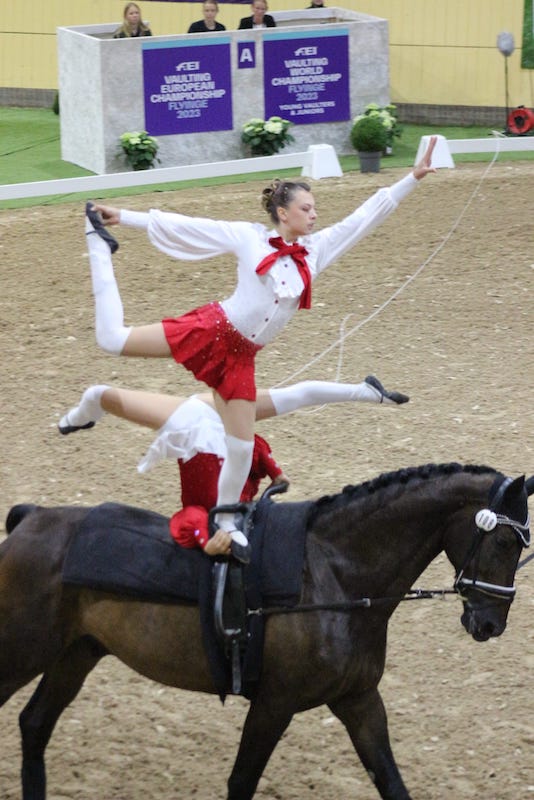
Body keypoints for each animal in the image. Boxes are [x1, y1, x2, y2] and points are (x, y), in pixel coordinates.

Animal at [1, 462, 532, 800]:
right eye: (505, 541)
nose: (490, 623)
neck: (333, 575)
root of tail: (32, 519)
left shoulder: (358, 700)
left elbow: (391, 782)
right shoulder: (274, 703)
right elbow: (241, 782)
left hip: (75, 653)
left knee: (35, 725)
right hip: (24, 651)